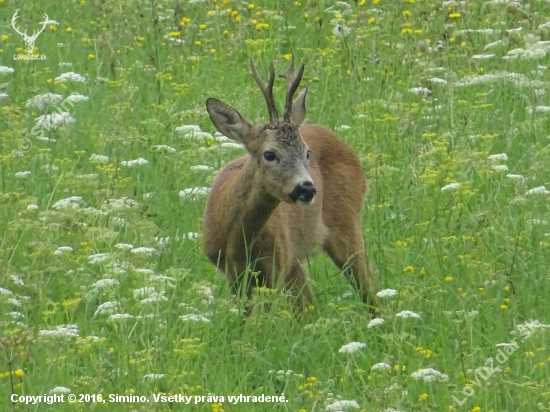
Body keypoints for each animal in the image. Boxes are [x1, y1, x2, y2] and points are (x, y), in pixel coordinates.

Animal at [203, 57, 380, 312]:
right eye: (269, 154)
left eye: (307, 153)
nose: (306, 188)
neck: (237, 240)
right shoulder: (232, 271)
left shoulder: (275, 266)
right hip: (296, 259)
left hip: (346, 223)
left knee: (372, 291)